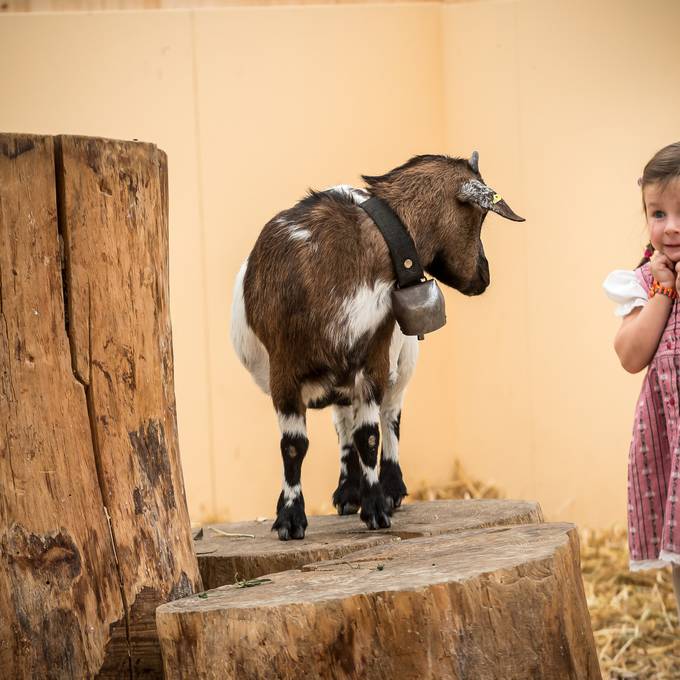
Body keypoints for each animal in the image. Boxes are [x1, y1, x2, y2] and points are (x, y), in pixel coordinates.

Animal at [231, 154, 524, 540]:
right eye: (479, 218)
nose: (484, 276)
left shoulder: (373, 359)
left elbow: (369, 436)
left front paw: (376, 508)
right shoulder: (284, 371)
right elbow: (294, 446)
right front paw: (290, 518)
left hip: (403, 362)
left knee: (390, 417)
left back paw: (389, 488)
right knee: (343, 424)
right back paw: (346, 492)